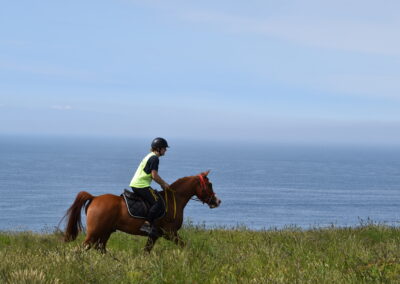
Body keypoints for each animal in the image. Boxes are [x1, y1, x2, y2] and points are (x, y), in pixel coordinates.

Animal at [62, 170, 222, 252]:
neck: (174, 199)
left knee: (99, 248)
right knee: (83, 248)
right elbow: (185, 246)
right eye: (209, 184)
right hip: (94, 232)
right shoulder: (170, 233)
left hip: (105, 232)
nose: (217, 201)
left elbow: (146, 251)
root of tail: (94, 198)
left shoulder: (155, 236)